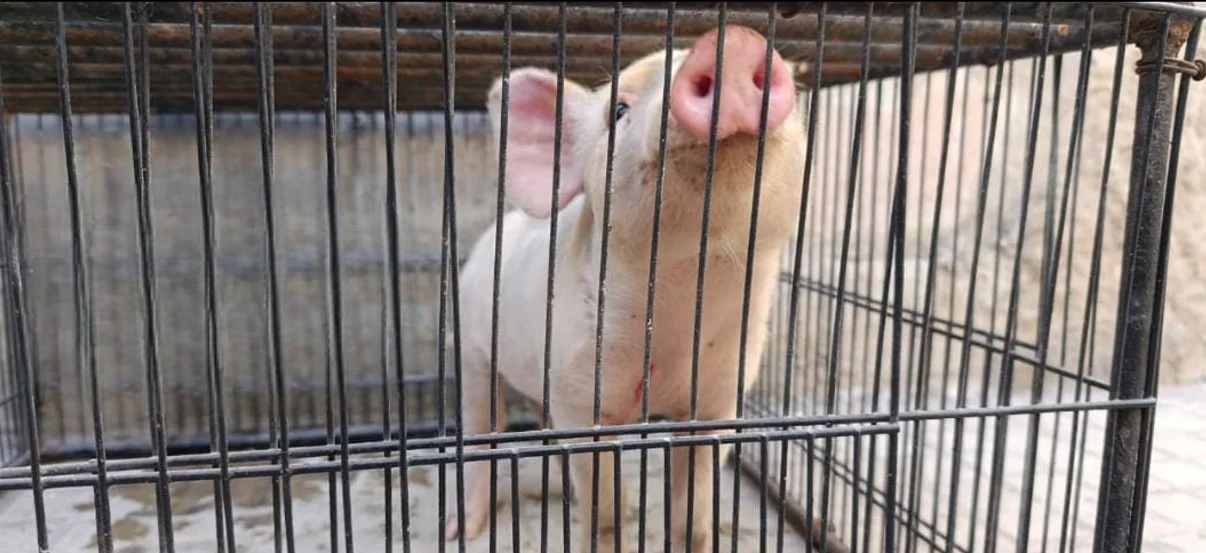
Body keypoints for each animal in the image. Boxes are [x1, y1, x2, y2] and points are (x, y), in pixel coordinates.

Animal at [446, 24, 844, 553]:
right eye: (618, 110)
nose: (733, 42)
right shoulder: (579, 389)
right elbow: (605, 511)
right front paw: (605, 525)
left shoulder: (718, 398)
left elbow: (694, 512)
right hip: (471, 345)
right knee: (481, 425)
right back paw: (461, 530)